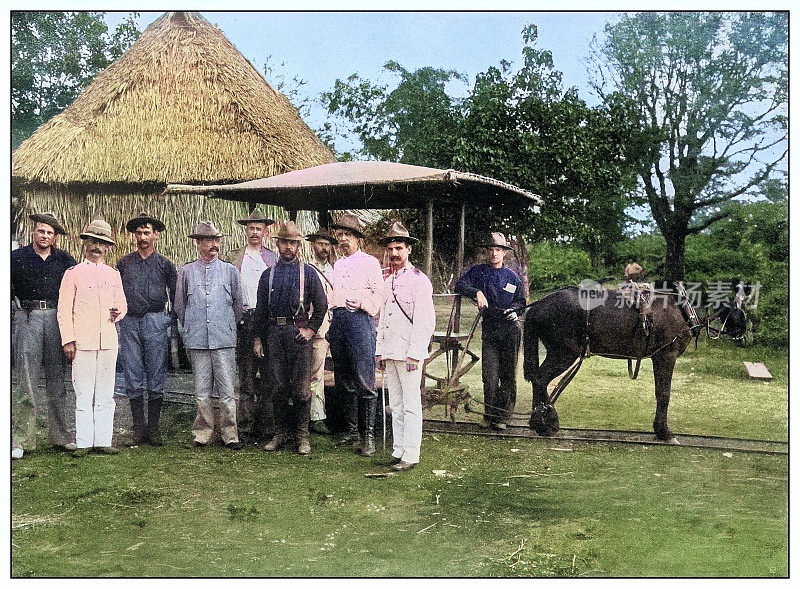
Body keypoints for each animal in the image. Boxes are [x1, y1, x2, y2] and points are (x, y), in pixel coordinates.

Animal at [524, 282, 700, 444]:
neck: (677, 306)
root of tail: (537, 305)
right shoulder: (666, 355)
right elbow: (663, 393)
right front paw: (664, 432)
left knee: (538, 379)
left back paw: (538, 422)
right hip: (563, 354)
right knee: (540, 379)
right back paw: (548, 422)